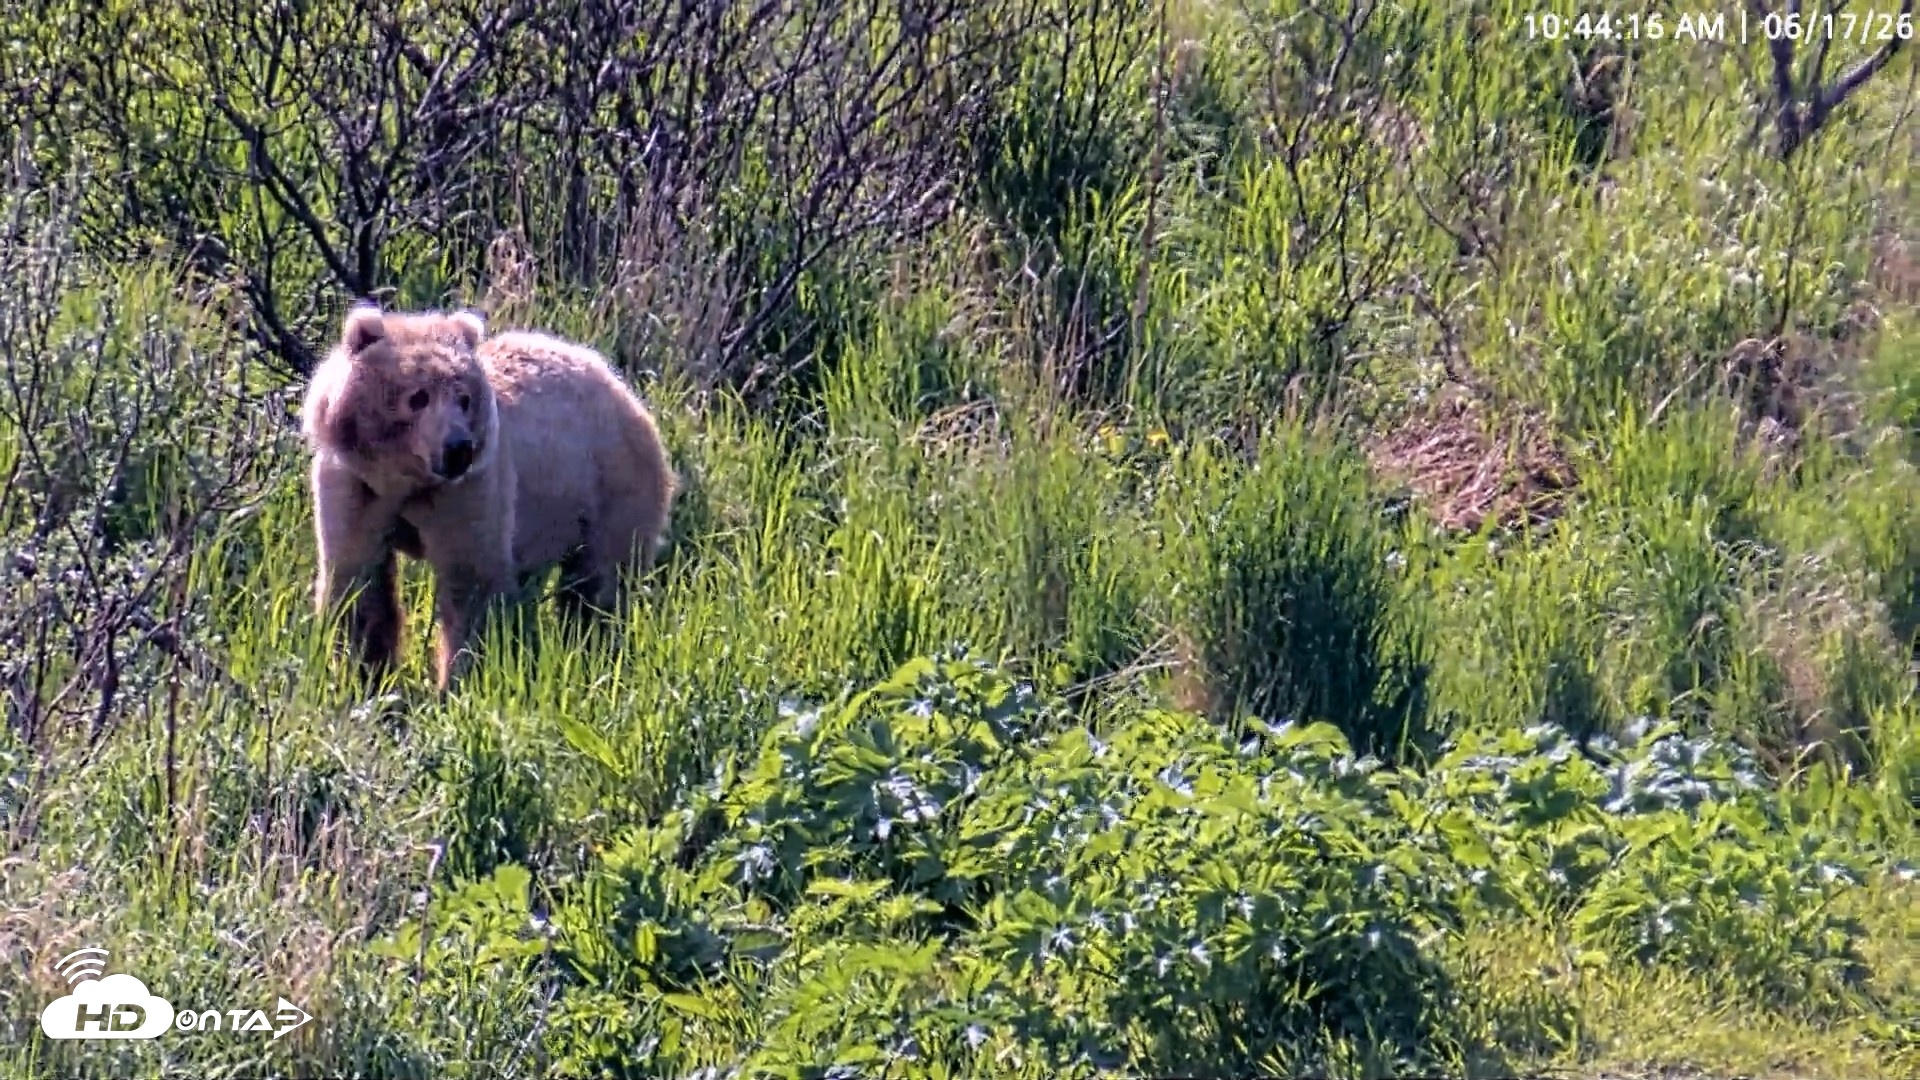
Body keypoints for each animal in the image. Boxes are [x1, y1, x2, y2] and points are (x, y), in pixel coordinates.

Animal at [300, 302, 675, 692]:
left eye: (464, 398)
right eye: (418, 396)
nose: (457, 448)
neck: (407, 483)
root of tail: (620, 386)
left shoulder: (467, 491)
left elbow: (471, 584)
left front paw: (460, 680)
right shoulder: (357, 487)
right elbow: (358, 580)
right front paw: (366, 674)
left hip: (611, 487)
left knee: (600, 581)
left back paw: (593, 646)